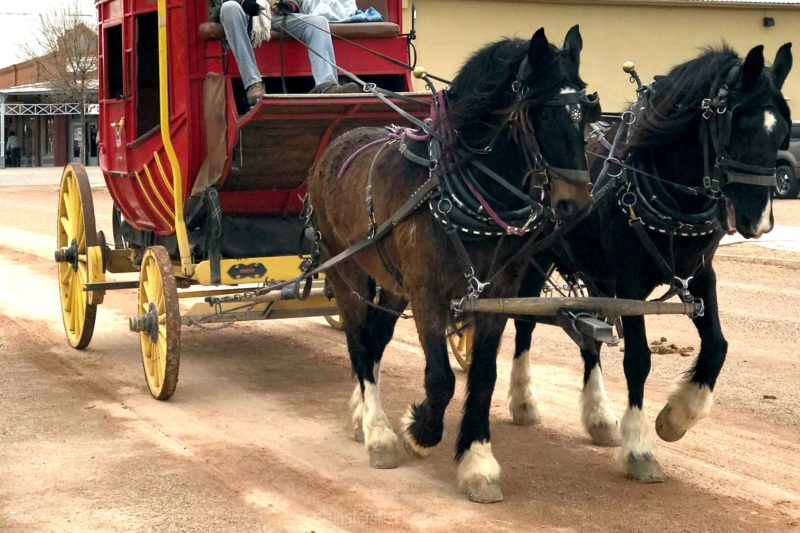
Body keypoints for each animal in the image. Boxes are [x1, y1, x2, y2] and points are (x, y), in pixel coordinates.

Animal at [310, 27, 596, 500]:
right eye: (543, 115)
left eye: (588, 114)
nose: (575, 204)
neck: (464, 195)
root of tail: (334, 146)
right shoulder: (429, 294)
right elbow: (441, 378)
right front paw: (420, 431)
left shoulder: (495, 297)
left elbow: (482, 378)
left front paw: (477, 461)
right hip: (345, 270)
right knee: (358, 342)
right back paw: (378, 432)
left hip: (392, 284)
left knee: (375, 339)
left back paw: (362, 415)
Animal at [510, 43, 792, 480]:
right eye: (738, 126)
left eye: (782, 130)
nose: (758, 221)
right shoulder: (629, 284)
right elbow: (638, 360)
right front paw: (640, 449)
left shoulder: (700, 275)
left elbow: (718, 346)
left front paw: (677, 417)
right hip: (536, 257)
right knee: (524, 321)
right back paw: (523, 401)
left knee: (589, 338)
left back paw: (600, 419)